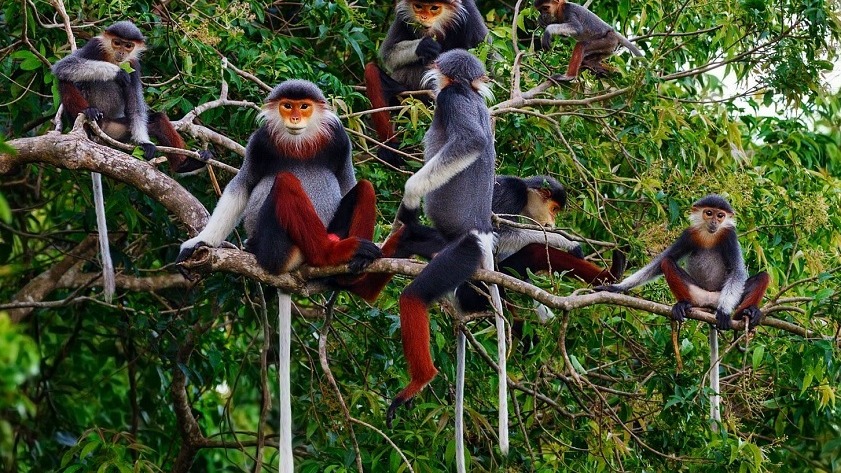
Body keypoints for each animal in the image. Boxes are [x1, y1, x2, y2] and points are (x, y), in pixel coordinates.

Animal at [176, 80, 381, 281]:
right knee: (285, 180)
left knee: (365, 187)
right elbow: (241, 187)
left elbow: (347, 185)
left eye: (304, 106)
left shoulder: (340, 140)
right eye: (288, 106)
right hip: (280, 251)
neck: (299, 144)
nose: (295, 118)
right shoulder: (259, 142)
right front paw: (199, 242)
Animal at [364, 0, 488, 166]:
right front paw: (424, 45)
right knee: (371, 71)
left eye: (434, 8)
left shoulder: (470, 14)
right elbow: (388, 54)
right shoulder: (401, 17)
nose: (423, 17)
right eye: (418, 6)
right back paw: (389, 149)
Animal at [596, 195, 770, 331]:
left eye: (720, 215)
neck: (709, 236)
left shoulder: (729, 236)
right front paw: (616, 287)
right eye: (709, 213)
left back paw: (748, 313)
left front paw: (725, 311)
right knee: (667, 262)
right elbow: (660, 262)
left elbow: (737, 272)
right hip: (697, 294)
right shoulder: (689, 234)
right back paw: (684, 305)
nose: (714, 222)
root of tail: (710, 302)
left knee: (764, 276)